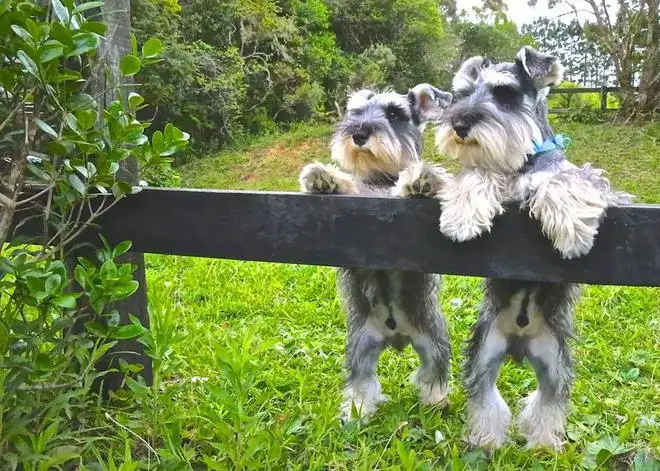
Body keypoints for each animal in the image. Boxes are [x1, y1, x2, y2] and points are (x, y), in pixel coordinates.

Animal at [300, 85, 454, 424]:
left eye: (395, 113)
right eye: (355, 112)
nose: (359, 133)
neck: (380, 177)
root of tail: (396, 336)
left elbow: (403, 188)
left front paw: (419, 180)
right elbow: (351, 188)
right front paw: (324, 178)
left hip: (433, 341)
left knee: (433, 373)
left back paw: (435, 399)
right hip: (361, 347)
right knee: (362, 380)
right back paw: (357, 410)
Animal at [434, 47, 636, 450]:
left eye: (505, 93)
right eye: (463, 94)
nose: (459, 125)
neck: (522, 160)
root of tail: (520, 342)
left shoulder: (601, 186)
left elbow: (561, 179)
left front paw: (572, 229)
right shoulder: (497, 177)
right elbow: (478, 173)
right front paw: (461, 216)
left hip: (553, 361)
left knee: (549, 400)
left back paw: (543, 443)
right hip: (485, 353)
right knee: (486, 398)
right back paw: (487, 441)